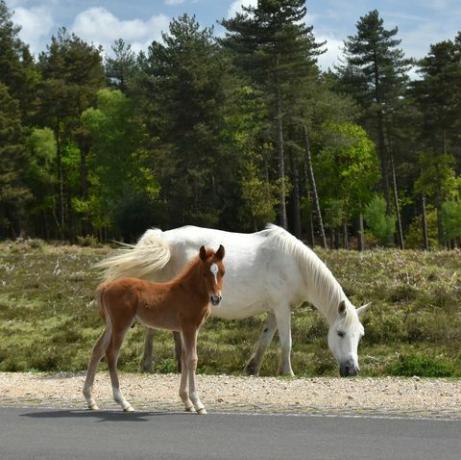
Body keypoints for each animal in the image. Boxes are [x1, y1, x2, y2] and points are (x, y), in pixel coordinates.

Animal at [85, 246, 226, 416]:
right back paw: (124, 402)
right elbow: (192, 359)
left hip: (111, 324)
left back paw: (90, 400)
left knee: (97, 350)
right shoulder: (189, 327)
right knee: (111, 353)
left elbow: (184, 358)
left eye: (222, 272)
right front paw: (198, 404)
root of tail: (105, 286)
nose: (216, 298)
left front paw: (186, 402)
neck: (188, 292)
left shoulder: (187, 329)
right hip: (121, 323)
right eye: (205, 273)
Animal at [98, 224, 370, 378]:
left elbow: (265, 339)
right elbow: (286, 342)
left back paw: (179, 363)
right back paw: (148, 364)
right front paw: (287, 372)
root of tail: (164, 239)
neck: (294, 264)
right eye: (340, 333)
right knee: (152, 330)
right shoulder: (282, 309)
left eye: (360, 335)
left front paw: (253, 368)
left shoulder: (274, 311)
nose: (352, 370)